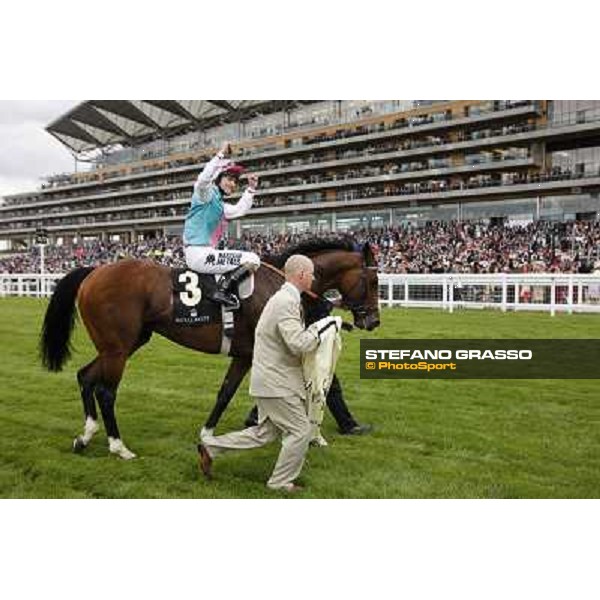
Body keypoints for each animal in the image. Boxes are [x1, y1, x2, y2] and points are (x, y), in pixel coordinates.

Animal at [39, 237, 380, 458]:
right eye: (373, 281)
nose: (374, 321)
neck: (278, 283)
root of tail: (94, 271)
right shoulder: (255, 351)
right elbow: (232, 392)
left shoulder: (247, 354)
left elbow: (226, 392)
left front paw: (215, 432)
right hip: (118, 349)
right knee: (106, 391)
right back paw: (118, 446)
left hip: (123, 345)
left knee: (85, 377)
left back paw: (85, 436)